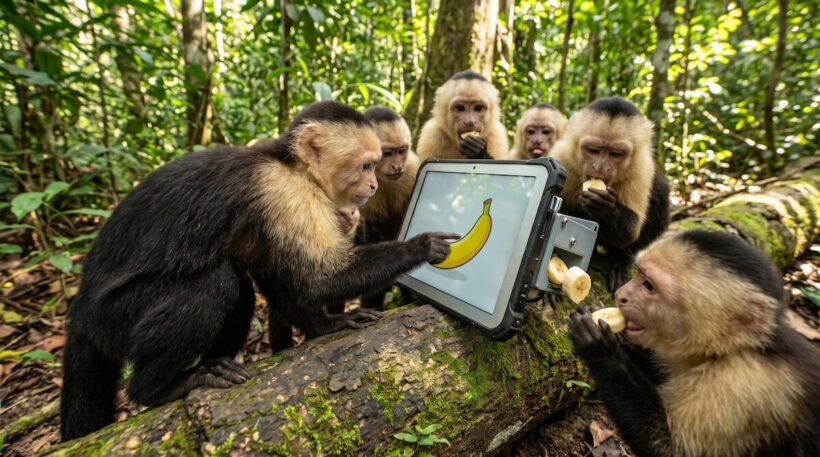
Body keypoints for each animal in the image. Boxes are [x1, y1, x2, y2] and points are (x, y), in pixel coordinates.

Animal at [60, 101, 459, 441]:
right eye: (366, 166)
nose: (374, 185)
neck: (294, 168)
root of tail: (80, 314)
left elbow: (277, 276)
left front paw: (324, 326)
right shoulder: (287, 195)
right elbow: (319, 278)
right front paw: (419, 247)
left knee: (238, 292)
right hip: (115, 316)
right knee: (214, 283)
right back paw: (160, 386)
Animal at [548, 97, 670, 291]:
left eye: (615, 154)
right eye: (594, 150)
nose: (600, 166)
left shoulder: (642, 169)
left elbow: (631, 231)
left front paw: (605, 208)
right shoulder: (562, 156)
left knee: (661, 193)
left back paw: (618, 262)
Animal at [569, 230, 820, 456]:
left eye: (649, 286)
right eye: (637, 274)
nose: (621, 295)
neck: (730, 350)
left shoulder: (739, 386)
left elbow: (672, 449)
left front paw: (601, 347)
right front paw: (623, 343)